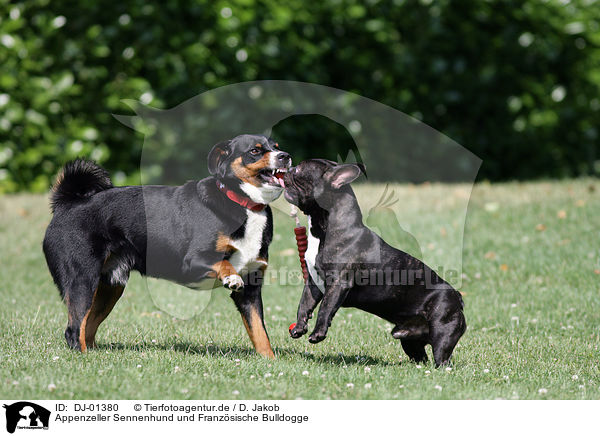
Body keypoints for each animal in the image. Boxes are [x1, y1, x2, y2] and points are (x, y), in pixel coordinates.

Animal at [42, 134, 290, 358]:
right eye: (255, 151)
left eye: (276, 146)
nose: (285, 156)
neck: (245, 205)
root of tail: (69, 202)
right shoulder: (192, 262)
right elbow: (223, 264)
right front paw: (230, 277)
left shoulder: (250, 289)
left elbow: (259, 331)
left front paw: (269, 361)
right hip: (82, 280)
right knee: (74, 329)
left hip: (110, 287)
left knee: (88, 326)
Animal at [284, 159, 466, 364]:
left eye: (298, 170)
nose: (287, 169)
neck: (325, 227)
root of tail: (457, 297)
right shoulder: (313, 283)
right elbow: (304, 304)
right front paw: (299, 327)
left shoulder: (338, 283)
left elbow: (325, 308)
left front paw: (317, 334)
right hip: (408, 340)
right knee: (420, 356)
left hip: (443, 331)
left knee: (442, 358)